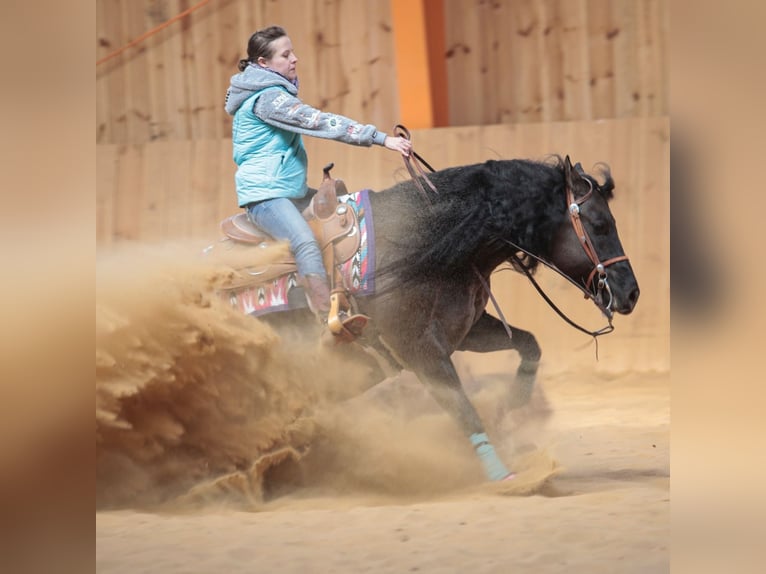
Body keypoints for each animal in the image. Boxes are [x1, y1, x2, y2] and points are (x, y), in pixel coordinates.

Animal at [208, 154, 640, 482]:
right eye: (600, 224)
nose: (632, 292)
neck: (420, 243)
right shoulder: (419, 351)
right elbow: (463, 410)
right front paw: (504, 475)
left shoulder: (464, 330)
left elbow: (529, 344)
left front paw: (513, 402)